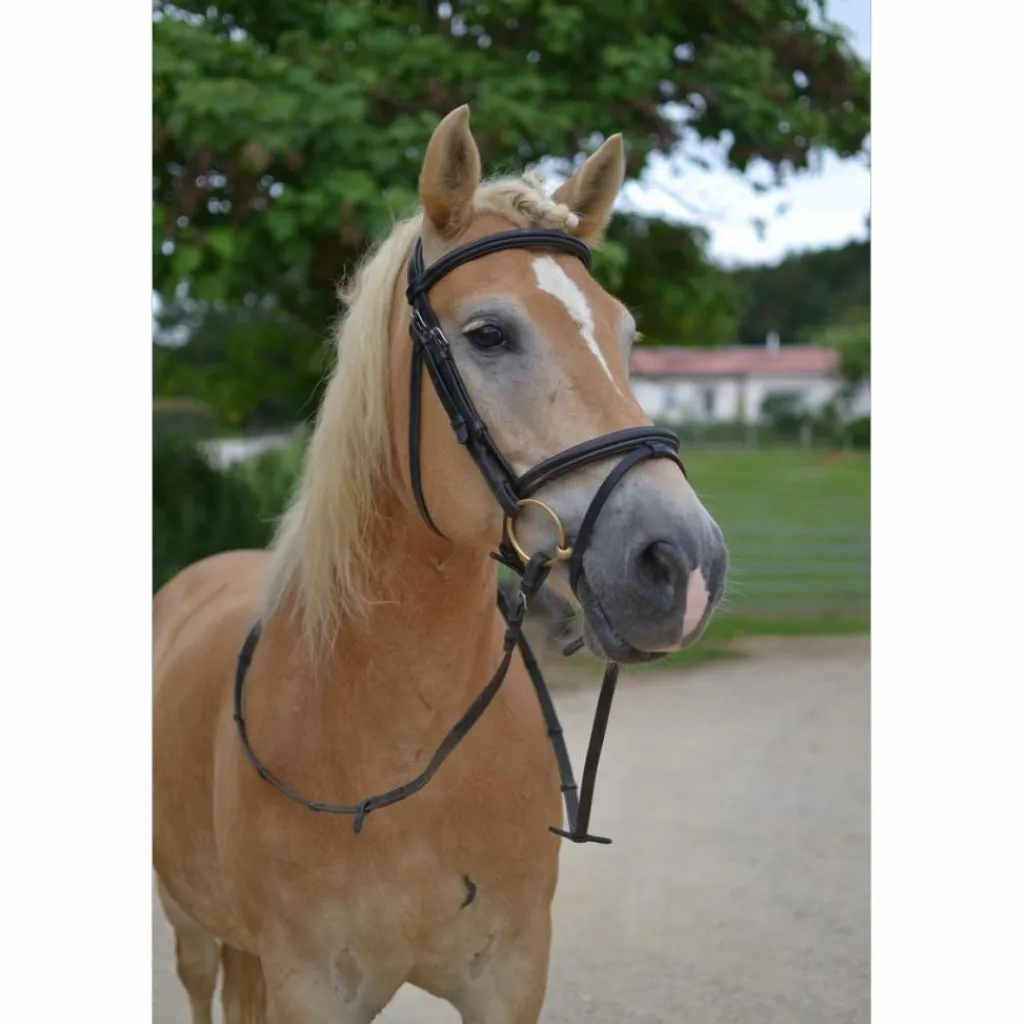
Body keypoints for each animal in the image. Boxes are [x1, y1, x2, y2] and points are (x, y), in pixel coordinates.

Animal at [153, 105, 728, 1024]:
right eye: (489, 333)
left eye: (627, 335)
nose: (685, 562)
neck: (396, 741)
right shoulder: (309, 987)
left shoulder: (511, 976)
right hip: (192, 932)